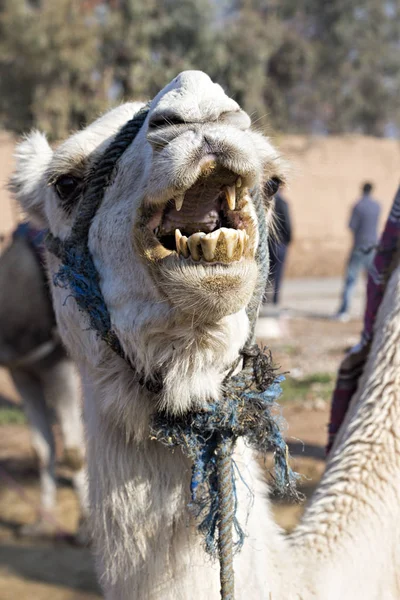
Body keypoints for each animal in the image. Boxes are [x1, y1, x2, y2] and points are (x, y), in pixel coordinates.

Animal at [0, 229, 86, 536]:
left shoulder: (57, 365)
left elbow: (74, 452)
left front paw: (85, 528)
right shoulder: (22, 370)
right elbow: (40, 448)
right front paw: (41, 521)